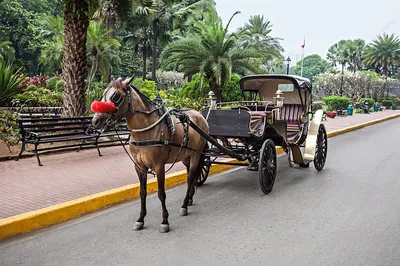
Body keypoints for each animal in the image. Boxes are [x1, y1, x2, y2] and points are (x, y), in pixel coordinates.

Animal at [90, 76, 209, 233]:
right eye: (103, 94)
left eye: (115, 96)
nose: (95, 121)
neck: (146, 131)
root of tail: (199, 115)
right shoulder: (139, 166)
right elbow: (142, 192)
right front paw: (140, 219)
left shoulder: (159, 165)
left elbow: (161, 193)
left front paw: (165, 221)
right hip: (186, 156)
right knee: (192, 175)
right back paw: (189, 199)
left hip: (196, 155)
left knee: (191, 178)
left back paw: (184, 205)